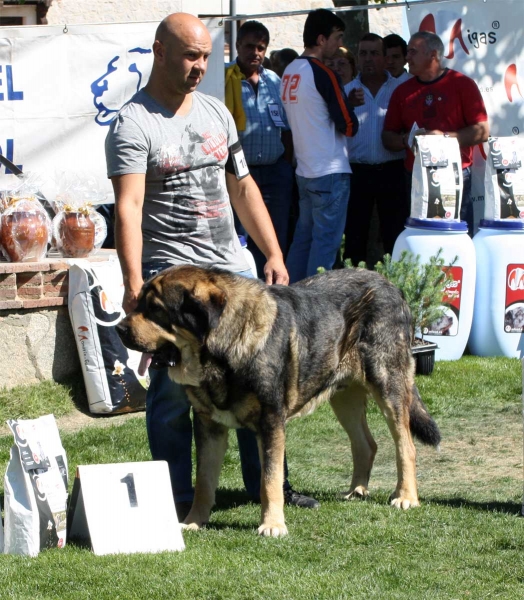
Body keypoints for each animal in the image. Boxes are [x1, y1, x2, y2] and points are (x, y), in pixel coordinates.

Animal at [116, 264, 440, 536]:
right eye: (138, 303)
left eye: (156, 310)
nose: (119, 329)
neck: (224, 349)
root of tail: (391, 285)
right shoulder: (209, 425)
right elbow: (204, 482)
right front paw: (194, 522)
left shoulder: (271, 422)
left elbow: (269, 480)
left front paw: (272, 526)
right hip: (343, 396)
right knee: (366, 445)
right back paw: (356, 491)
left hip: (387, 383)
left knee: (405, 445)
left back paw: (406, 497)